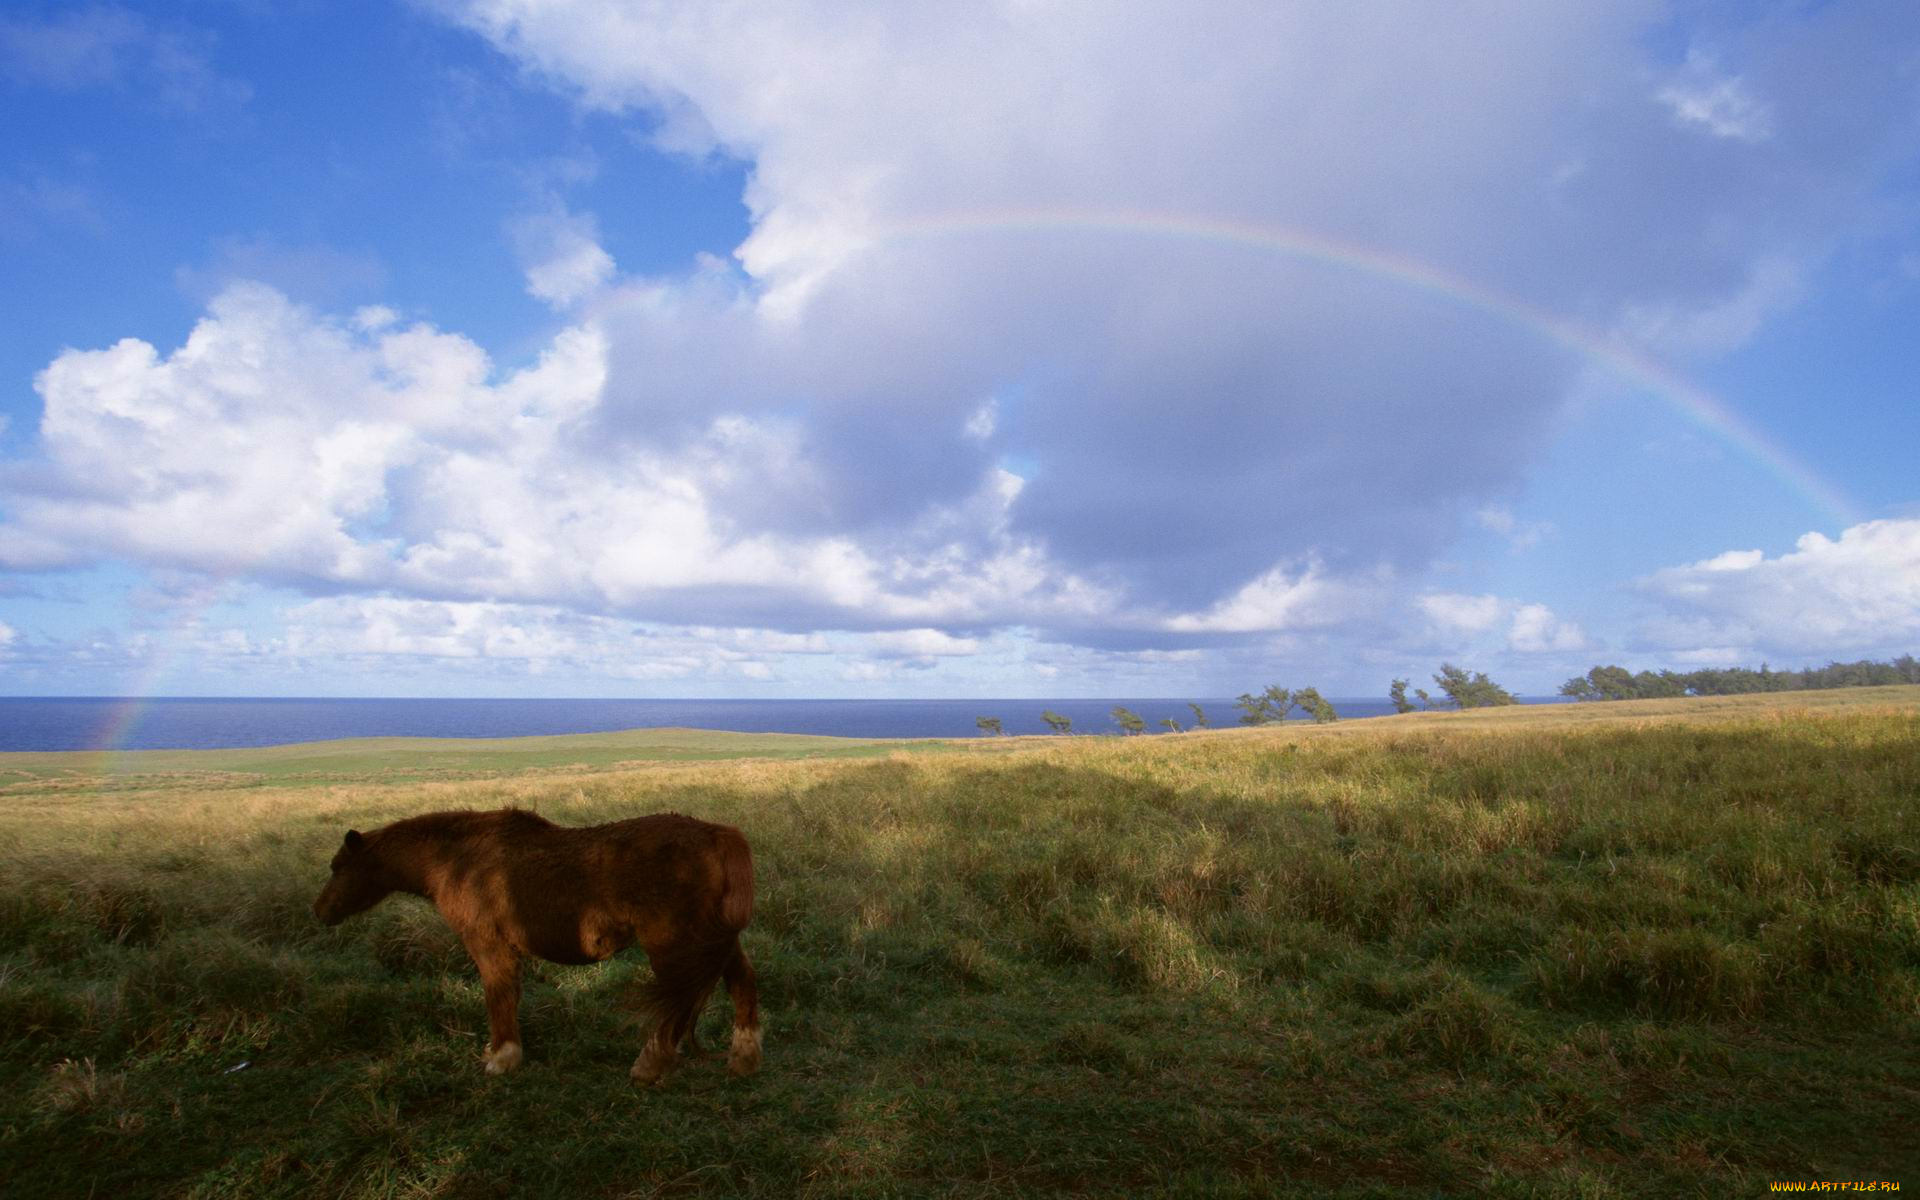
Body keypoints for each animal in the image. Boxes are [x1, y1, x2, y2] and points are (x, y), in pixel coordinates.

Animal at [311, 810, 760, 1082]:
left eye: (338, 867)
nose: (319, 911)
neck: (456, 860)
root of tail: (716, 834)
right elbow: (510, 995)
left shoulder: (488, 945)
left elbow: (498, 995)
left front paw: (501, 1058)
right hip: (713, 939)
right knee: (740, 980)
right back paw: (743, 1058)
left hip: (671, 943)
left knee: (682, 1002)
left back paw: (651, 1064)